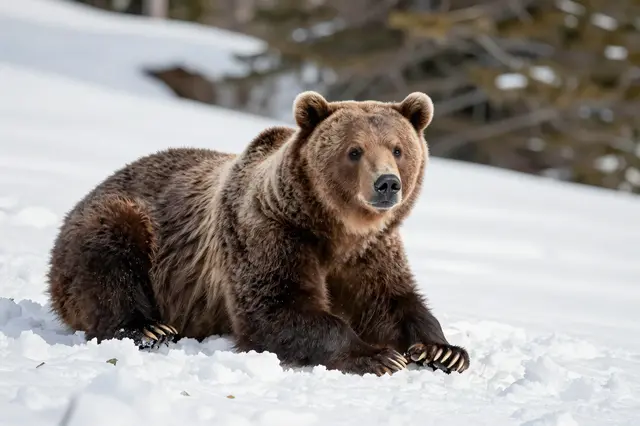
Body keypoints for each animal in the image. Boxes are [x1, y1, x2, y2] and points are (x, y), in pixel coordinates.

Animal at [47, 91, 470, 376]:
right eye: (354, 150)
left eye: (398, 149)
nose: (387, 184)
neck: (334, 228)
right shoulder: (271, 233)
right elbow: (277, 307)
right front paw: (378, 355)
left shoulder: (371, 251)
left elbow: (392, 300)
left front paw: (442, 350)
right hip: (121, 222)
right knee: (109, 261)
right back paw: (150, 327)